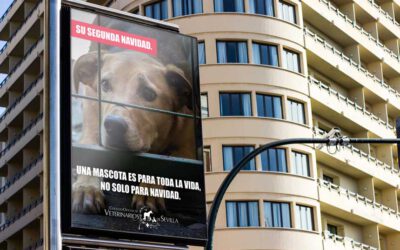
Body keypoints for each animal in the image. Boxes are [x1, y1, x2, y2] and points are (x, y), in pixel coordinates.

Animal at [72, 51, 197, 215]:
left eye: (149, 93)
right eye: (104, 84)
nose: (114, 125)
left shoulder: (187, 151)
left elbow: (163, 163)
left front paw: (149, 189)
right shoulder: (90, 135)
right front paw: (87, 187)